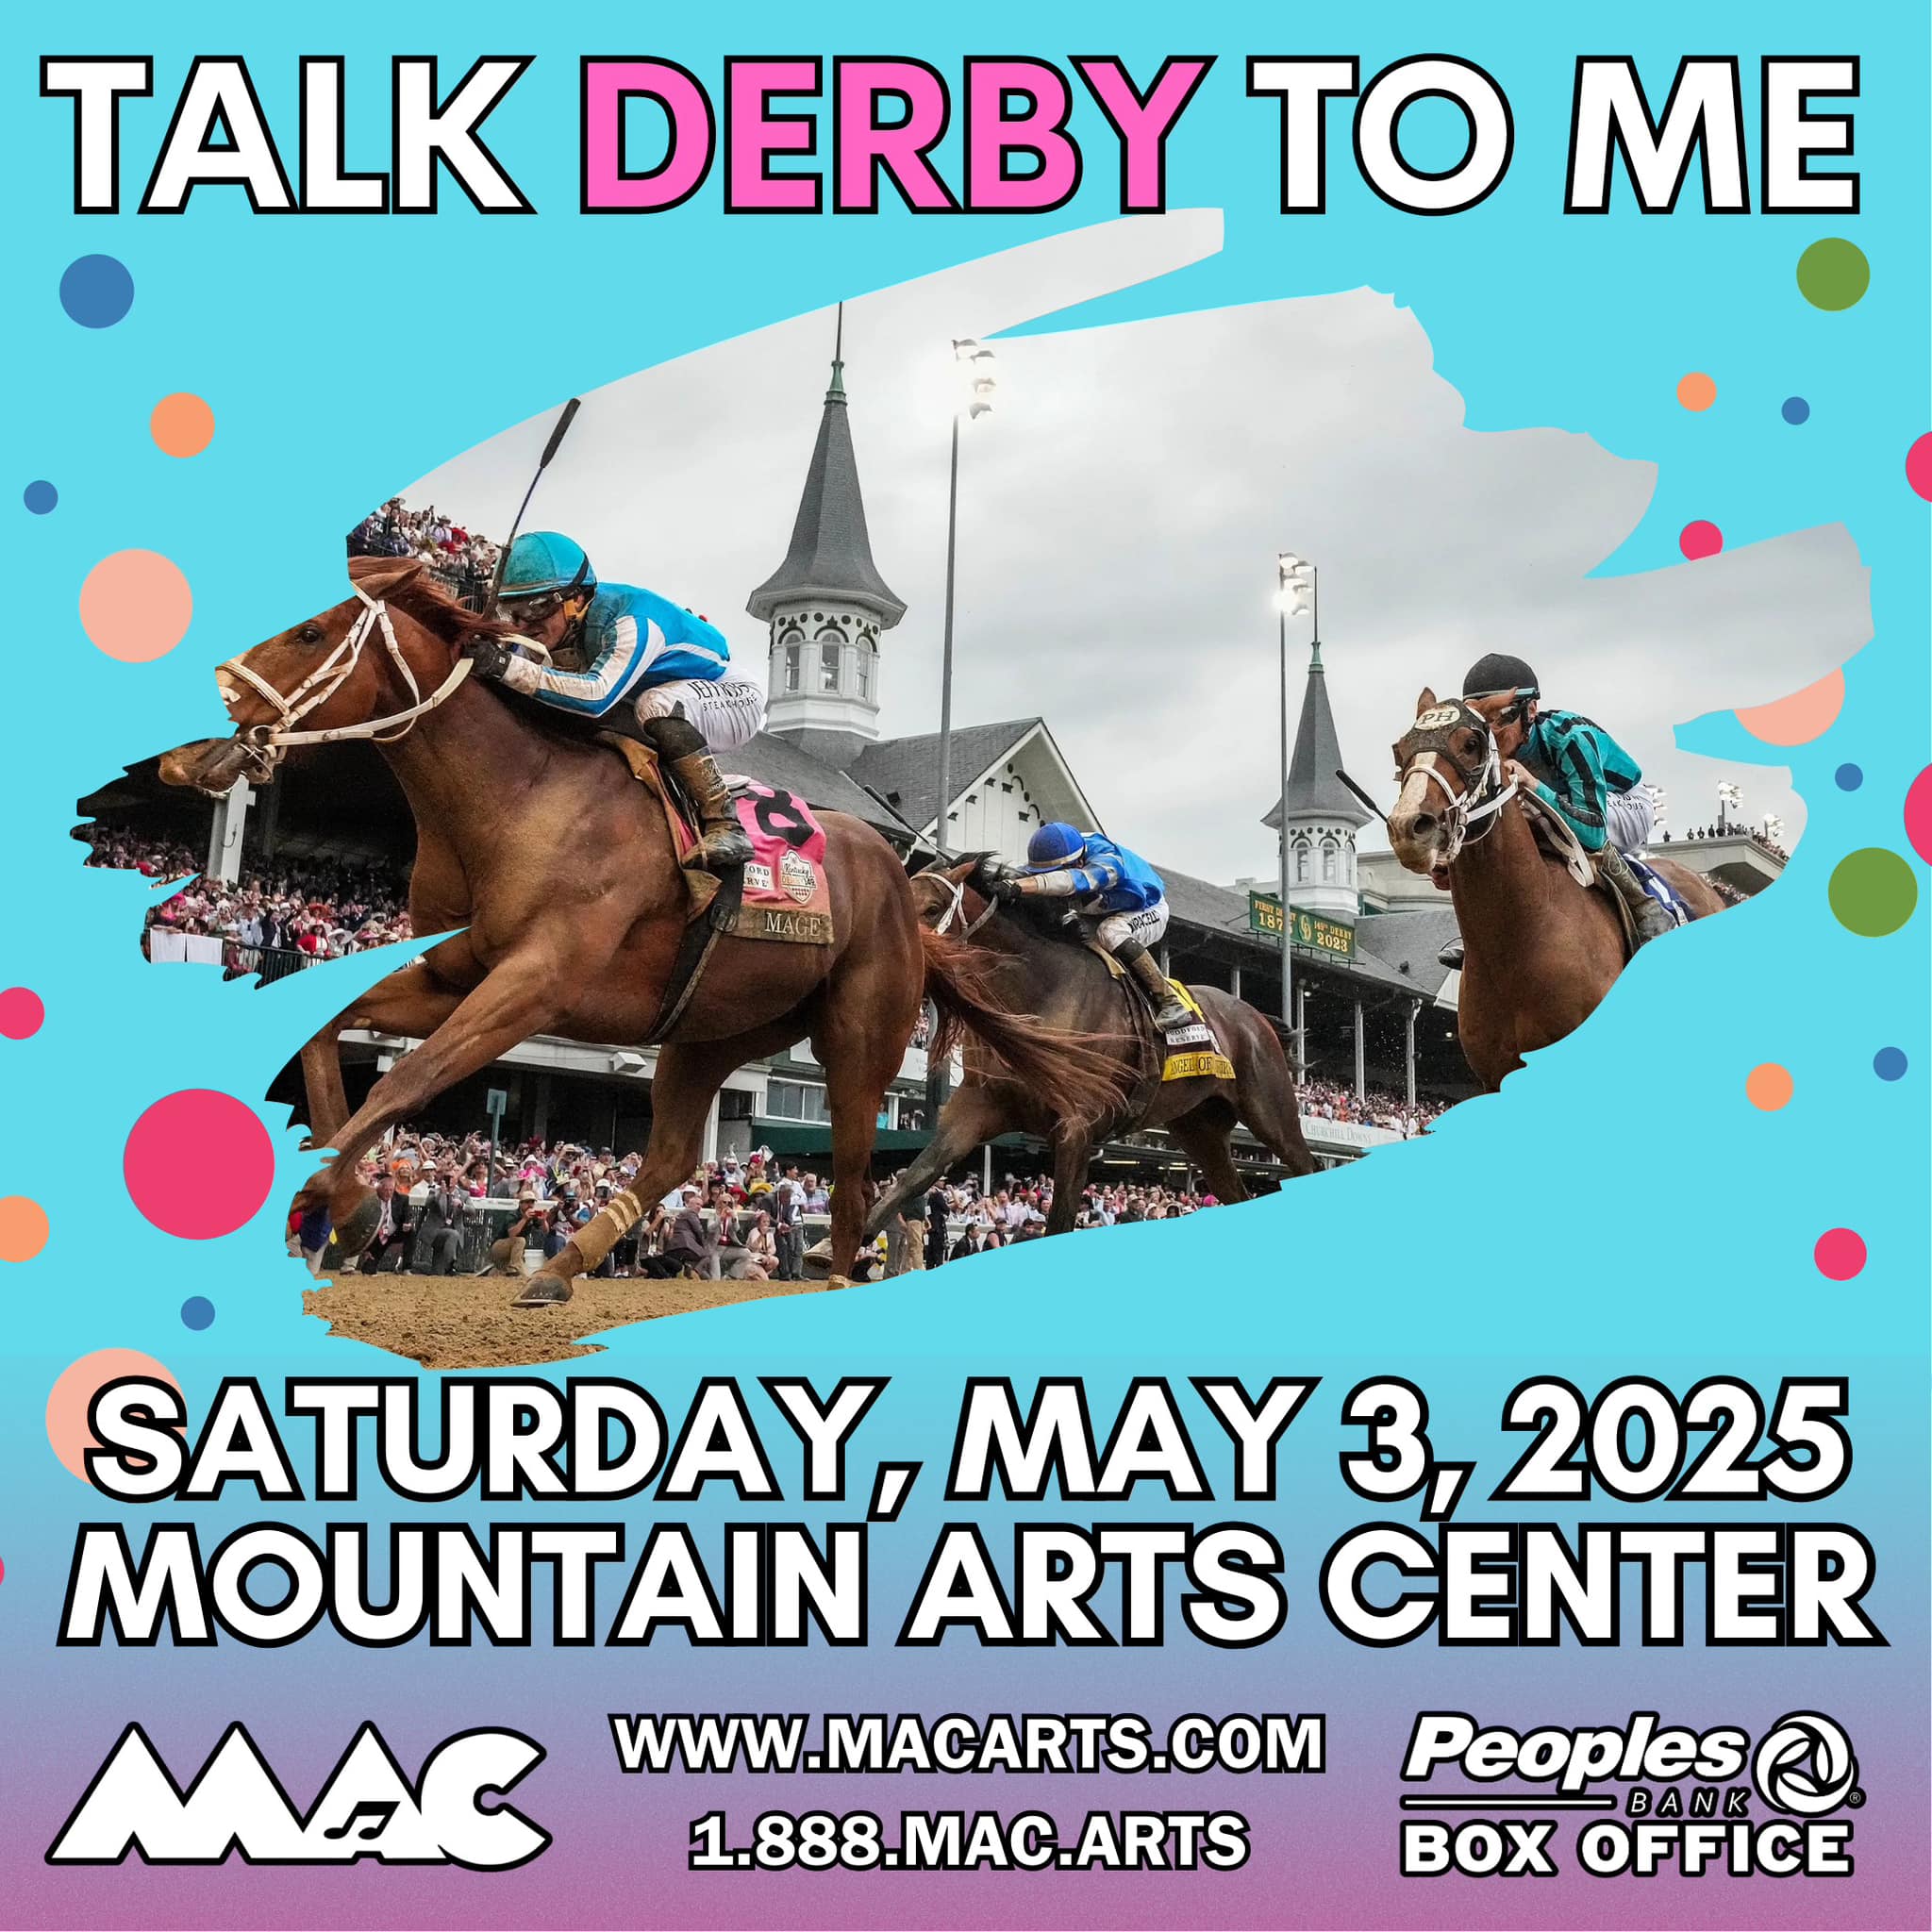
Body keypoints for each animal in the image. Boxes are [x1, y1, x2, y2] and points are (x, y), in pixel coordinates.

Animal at [157, 557, 1130, 1304]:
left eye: (310, 631)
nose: (187, 744)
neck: (518, 799)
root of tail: (904, 884)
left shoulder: (535, 984)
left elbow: (410, 1079)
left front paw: (330, 1201)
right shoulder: (453, 971)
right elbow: (328, 1029)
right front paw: (349, 1207)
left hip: (859, 1040)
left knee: (858, 1171)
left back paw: (829, 1269)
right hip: (708, 1029)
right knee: (669, 1157)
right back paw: (560, 1268)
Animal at [858, 856, 1317, 1243]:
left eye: (933, 908)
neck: (1038, 992)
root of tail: (1257, 1017)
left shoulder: (1078, 1126)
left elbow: (1060, 1222)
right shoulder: (977, 1106)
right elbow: (914, 1178)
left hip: (1270, 1111)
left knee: (1305, 1165)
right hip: (1199, 1128)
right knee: (1234, 1190)